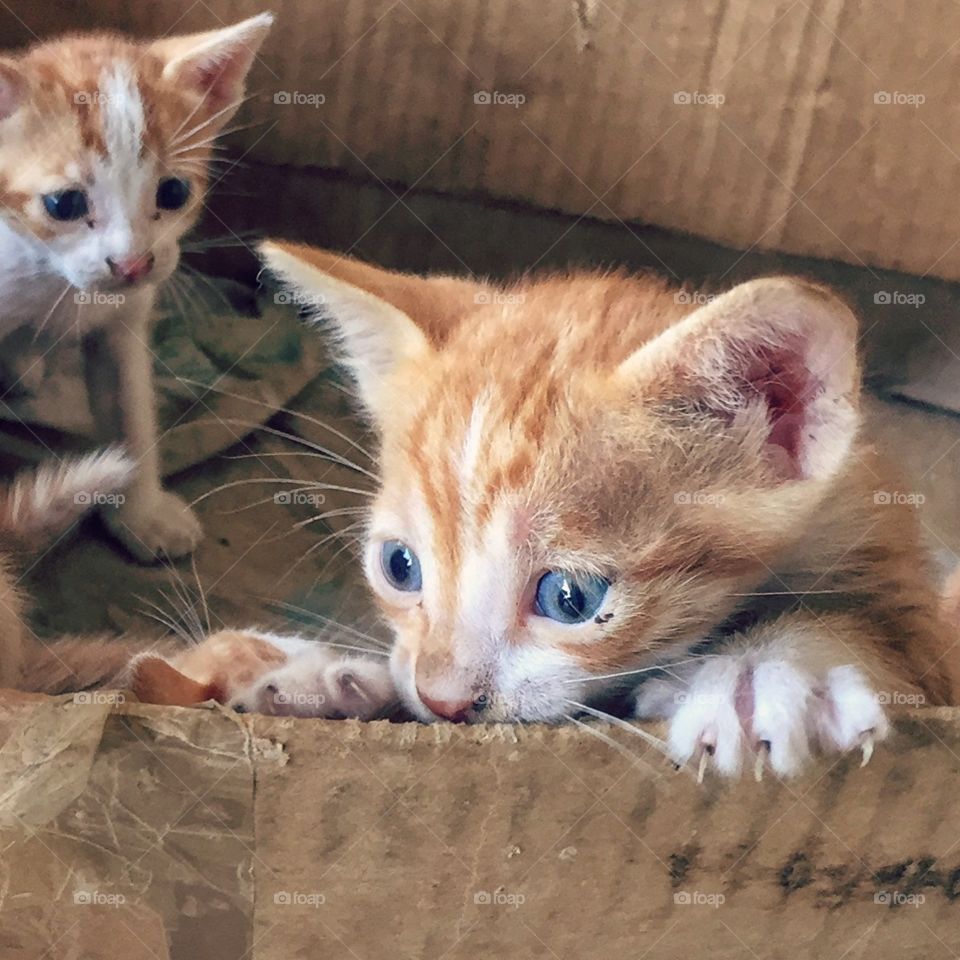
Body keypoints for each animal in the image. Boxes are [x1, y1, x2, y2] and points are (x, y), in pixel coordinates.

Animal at [0, 15, 272, 564]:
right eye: (63, 204)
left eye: (173, 192)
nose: (131, 264)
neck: (50, 275)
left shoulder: (124, 321)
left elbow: (131, 407)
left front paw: (140, 513)